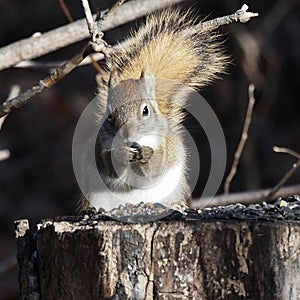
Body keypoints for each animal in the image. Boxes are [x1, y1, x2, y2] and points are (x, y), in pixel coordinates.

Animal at [78, 7, 229, 213]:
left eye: (145, 111)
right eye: (109, 116)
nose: (126, 134)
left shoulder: (165, 146)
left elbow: (157, 167)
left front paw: (147, 155)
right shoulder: (99, 147)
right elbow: (108, 167)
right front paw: (120, 155)